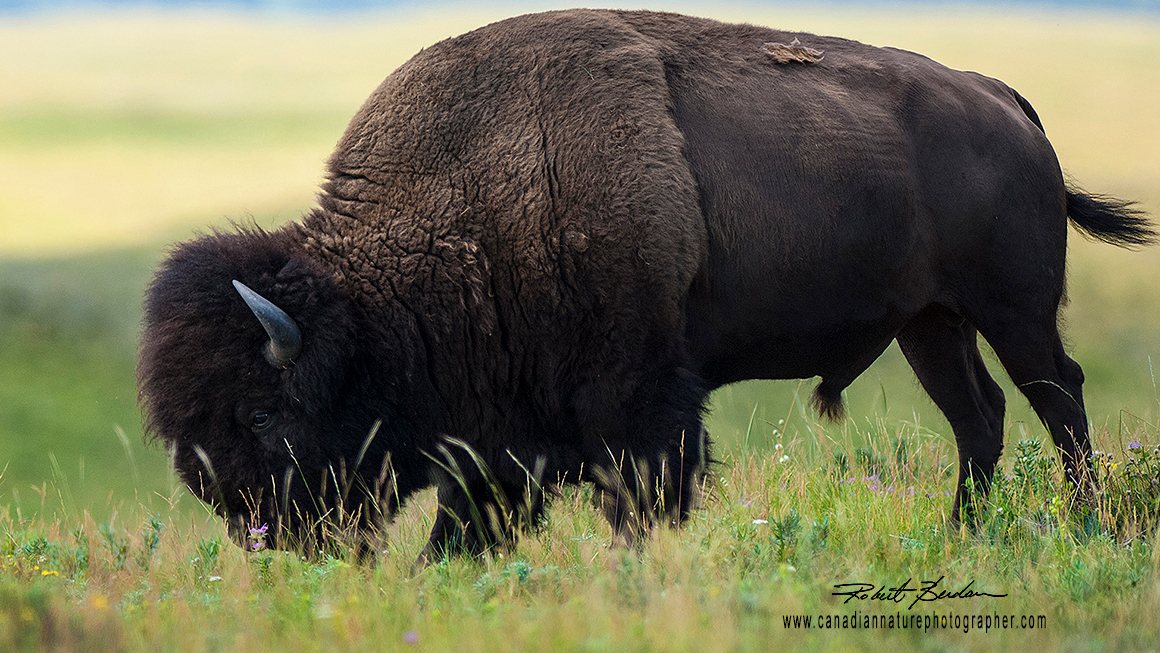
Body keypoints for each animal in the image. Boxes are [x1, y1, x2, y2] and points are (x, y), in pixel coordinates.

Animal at [138, 9, 1154, 561]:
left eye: (263, 414)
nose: (267, 539)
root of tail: (1004, 100)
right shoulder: (507, 432)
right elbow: (471, 522)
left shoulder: (637, 396)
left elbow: (638, 495)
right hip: (930, 322)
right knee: (980, 415)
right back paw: (961, 536)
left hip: (1012, 309)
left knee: (1057, 398)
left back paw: (1086, 526)